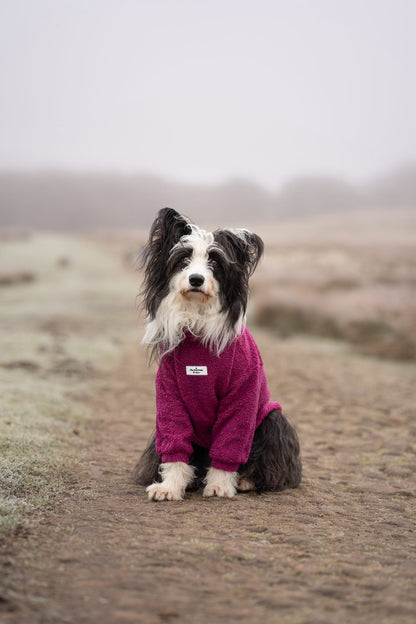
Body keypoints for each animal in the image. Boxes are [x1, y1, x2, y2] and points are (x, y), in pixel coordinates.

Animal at [132, 207, 300, 500]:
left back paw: (246, 480)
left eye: (215, 262)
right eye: (184, 259)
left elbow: (230, 440)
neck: (197, 321)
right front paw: (170, 486)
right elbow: (174, 442)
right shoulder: (169, 395)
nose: (196, 279)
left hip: (270, 418)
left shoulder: (242, 394)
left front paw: (221, 484)